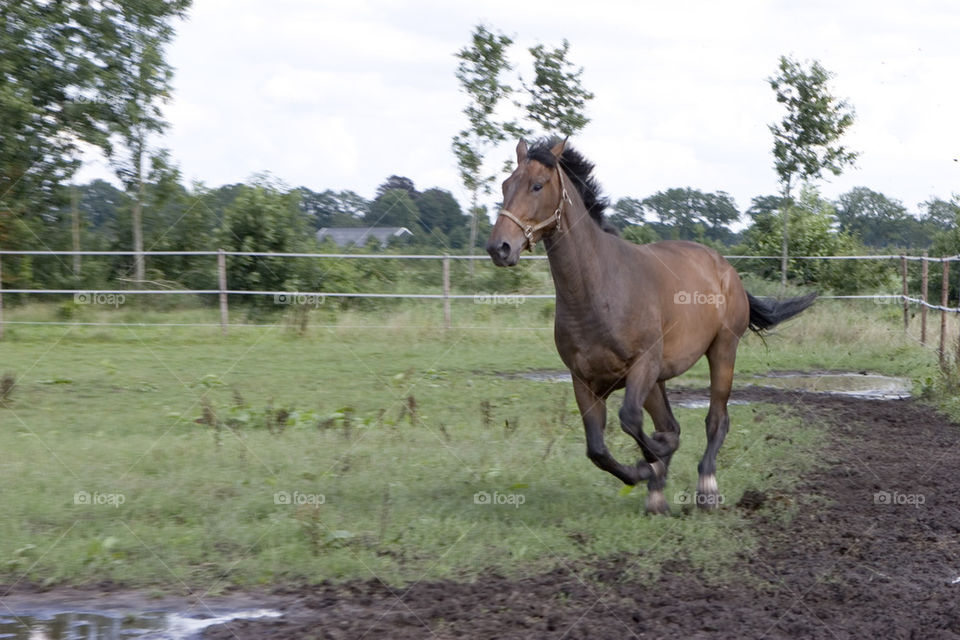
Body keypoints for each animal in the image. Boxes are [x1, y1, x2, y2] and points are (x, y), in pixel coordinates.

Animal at [484, 139, 812, 516]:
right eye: (505, 185)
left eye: (537, 185)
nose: (499, 247)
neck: (598, 290)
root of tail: (726, 269)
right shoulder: (583, 380)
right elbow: (598, 448)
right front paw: (645, 470)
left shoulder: (642, 365)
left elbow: (632, 420)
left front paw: (650, 462)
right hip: (658, 380)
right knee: (668, 424)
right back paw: (656, 493)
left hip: (721, 351)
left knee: (716, 420)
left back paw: (706, 488)